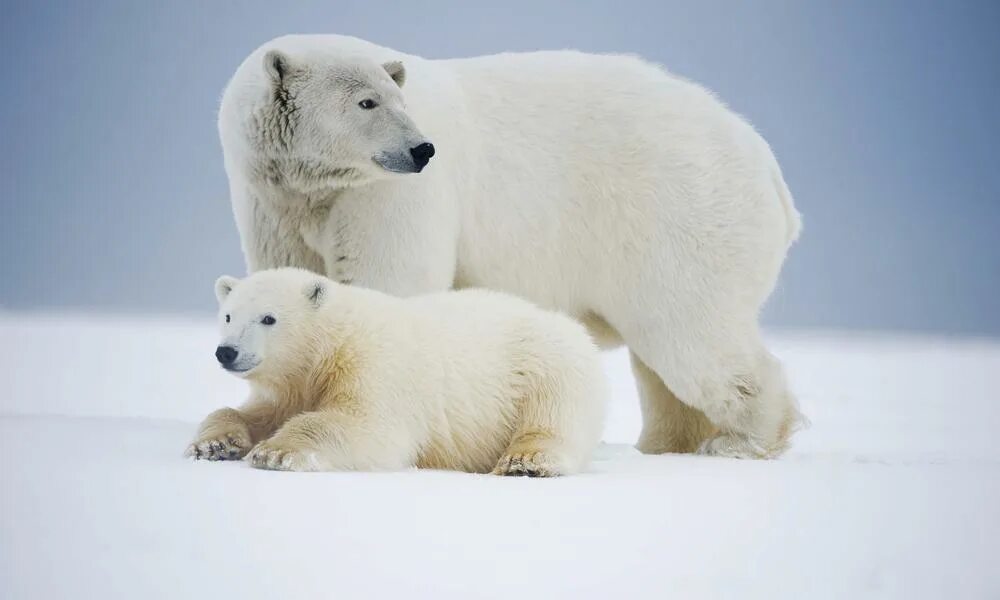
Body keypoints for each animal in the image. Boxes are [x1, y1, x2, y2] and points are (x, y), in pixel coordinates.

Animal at [188, 270, 608, 476]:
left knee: (552, 418)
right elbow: (252, 412)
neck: (333, 344)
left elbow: (370, 427)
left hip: (545, 367)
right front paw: (215, 444)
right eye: (229, 315)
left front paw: (276, 451)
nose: (227, 352)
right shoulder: (291, 388)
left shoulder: (374, 367)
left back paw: (525, 462)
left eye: (269, 318)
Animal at [217, 35, 804, 458]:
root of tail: (770, 171)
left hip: (677, 218)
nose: (422, 149)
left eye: (396, 98)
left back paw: (740, 440)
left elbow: (387, 283)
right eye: (367, 101)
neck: (316, 187)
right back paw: (666, 443)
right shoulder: (273, 201)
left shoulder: (387, 197)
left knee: (691, 335)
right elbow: (287, 270)